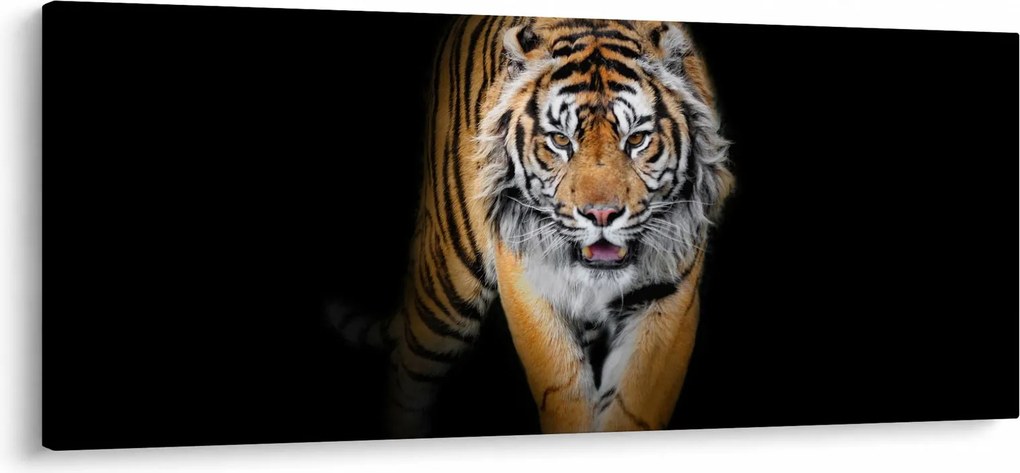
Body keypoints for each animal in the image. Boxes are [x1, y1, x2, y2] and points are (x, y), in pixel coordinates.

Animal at [329, 15, 733, 438]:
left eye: (636, 139)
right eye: (561, 140)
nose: (601, 215)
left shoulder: (671, 291)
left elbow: (634, 405)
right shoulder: (527, 276)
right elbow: (562, 388)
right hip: (447, 286)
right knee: (407, 372)